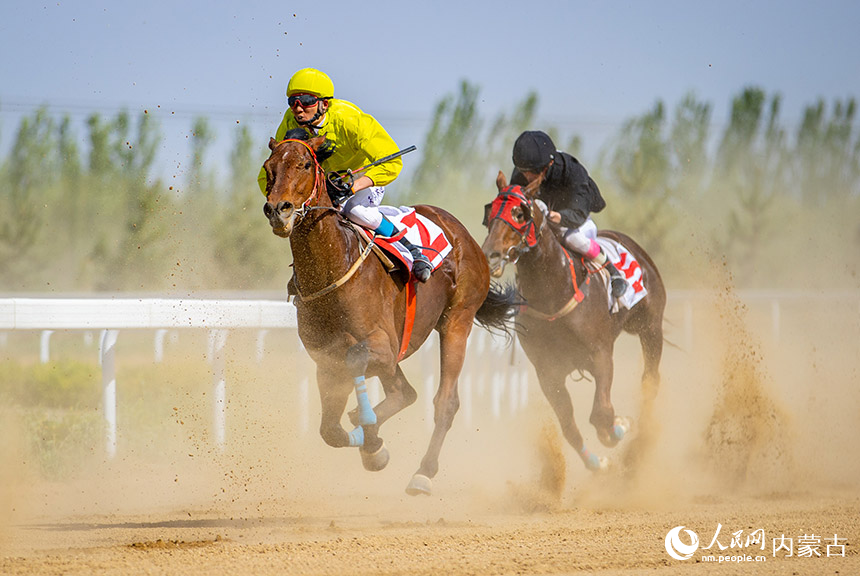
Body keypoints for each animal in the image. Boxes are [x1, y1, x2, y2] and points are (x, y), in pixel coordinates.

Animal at [260, 135, 516, 496]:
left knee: (445, 401)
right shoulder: (326, 359)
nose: (277, 210)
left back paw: (423, 473)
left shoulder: (382, 345)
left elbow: (355, 361)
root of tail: (464, 236)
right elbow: (330, 430)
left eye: (305, 164)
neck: (333, 269)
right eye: (268, 167)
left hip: (457, 321)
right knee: (405, 393)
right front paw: (373, 446)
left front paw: (368, 432)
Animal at [480, 170, 668, 472]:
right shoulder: (548, 372)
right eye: (490, 212)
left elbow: (601, 413)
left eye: (520, 213)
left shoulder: (601, 354)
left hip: (650, 327)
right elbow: (570, 426)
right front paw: (597, 462)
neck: (554, 293)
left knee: (650, 380)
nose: (491, 255)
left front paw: (620, 426)